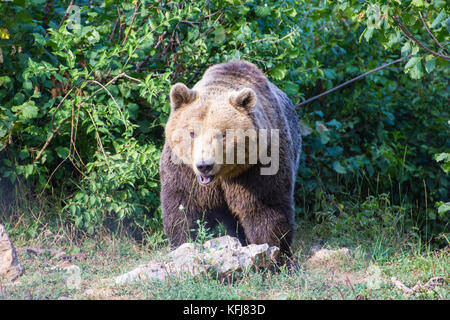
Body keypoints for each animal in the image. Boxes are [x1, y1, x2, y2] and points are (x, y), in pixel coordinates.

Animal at [160, 60, 300, 258]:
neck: (223, 175)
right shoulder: (183, 169)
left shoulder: (258, 167)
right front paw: (183, 244)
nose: (204, 166)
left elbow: (265, 208)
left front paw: (275, 251)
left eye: (223, 134)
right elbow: (183, 207)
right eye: (192, 133)